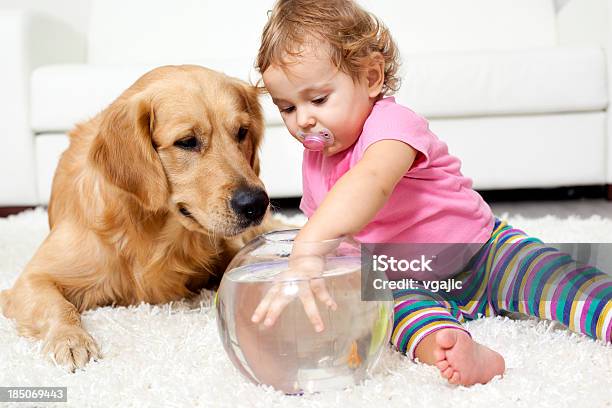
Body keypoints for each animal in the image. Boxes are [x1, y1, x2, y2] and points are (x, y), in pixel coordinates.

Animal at [0, 65, 278, 372]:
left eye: (242, 132)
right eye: (187, 142)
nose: (256, 203)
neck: (153, 230)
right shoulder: (30, 280)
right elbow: (59, 306)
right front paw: (70, 340)